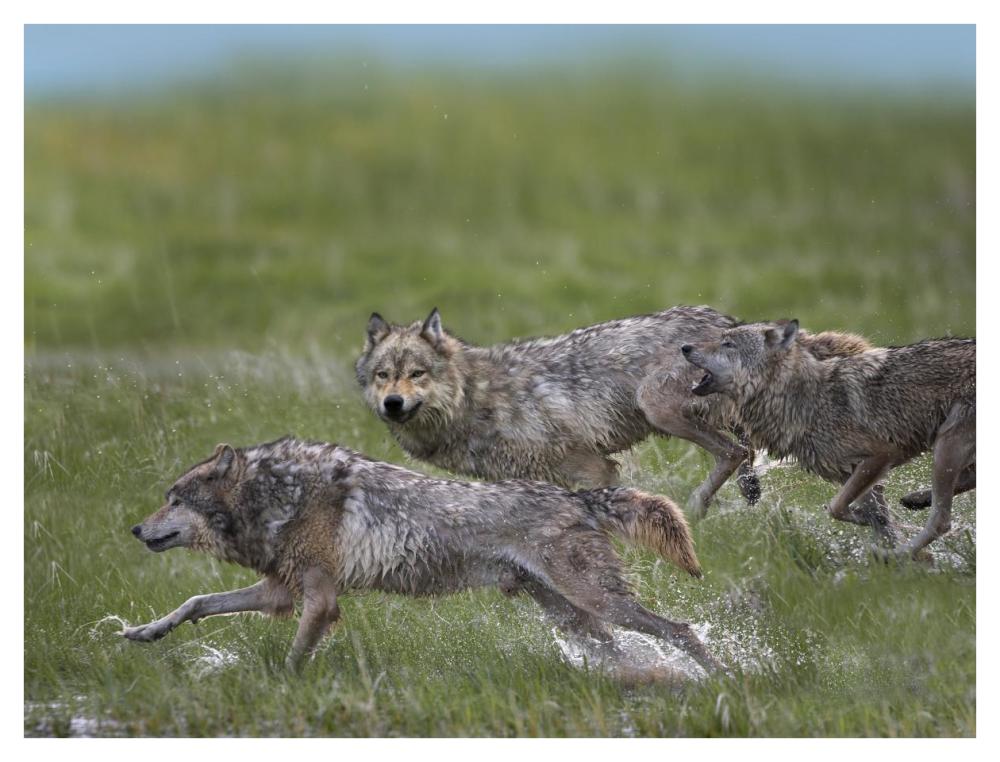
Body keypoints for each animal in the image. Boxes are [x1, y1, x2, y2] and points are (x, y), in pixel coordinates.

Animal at [123, 437, 725, 676]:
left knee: (680, 631)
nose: (133, 528)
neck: (278, 495)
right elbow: (196, 601)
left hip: (596, 601)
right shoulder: (279, 591)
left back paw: (725, 677)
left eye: (174, 500)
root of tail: (576, 497)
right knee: (624, 652)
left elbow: (293, 660)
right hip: (572, 616)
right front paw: (144, 632)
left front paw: (279, 690)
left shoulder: (320, 601)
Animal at [355, 306, 874, 516]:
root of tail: (728, 322)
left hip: (656, 405)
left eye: (417, 374)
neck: (477, 399)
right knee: (743, 452)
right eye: (383, 376)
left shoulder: (593, 467)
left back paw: (698, 507)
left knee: (733, 453)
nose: (393, 403)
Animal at [681, 320, 975, 556]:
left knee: (941, 521)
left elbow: (836, 507)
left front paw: (871, 529)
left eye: (727, 344)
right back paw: (916, 501)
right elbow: (874, 518)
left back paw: (897, 553)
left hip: (946, 447)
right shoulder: (853, 472)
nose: (684, 347)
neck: (803, 399)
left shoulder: (882, 454)